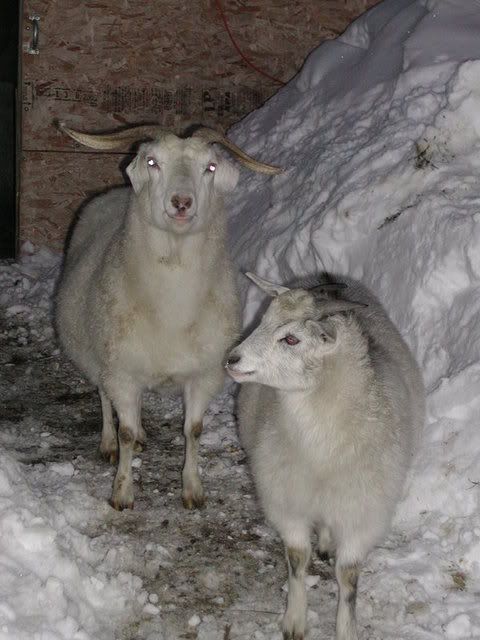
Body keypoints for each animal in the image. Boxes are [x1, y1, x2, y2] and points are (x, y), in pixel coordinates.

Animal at [55, 124, 282, 511]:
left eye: (209, 167)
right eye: (152, 162)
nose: (181, 202)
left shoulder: (204, 374)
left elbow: (193, 431)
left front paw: (192, 488)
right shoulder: (122, 370)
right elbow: (125, 430)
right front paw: (122, 492)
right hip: (98, 355)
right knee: (103, 397)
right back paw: (108, 442)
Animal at [226, 273, 425, 640]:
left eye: (291, 339)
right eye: (264, 319)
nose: (232, 360)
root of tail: (328, 274)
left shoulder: (362, 513)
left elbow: (348, 576)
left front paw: (346, 629)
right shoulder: (287, 501)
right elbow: (297, 558)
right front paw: (294, 620)